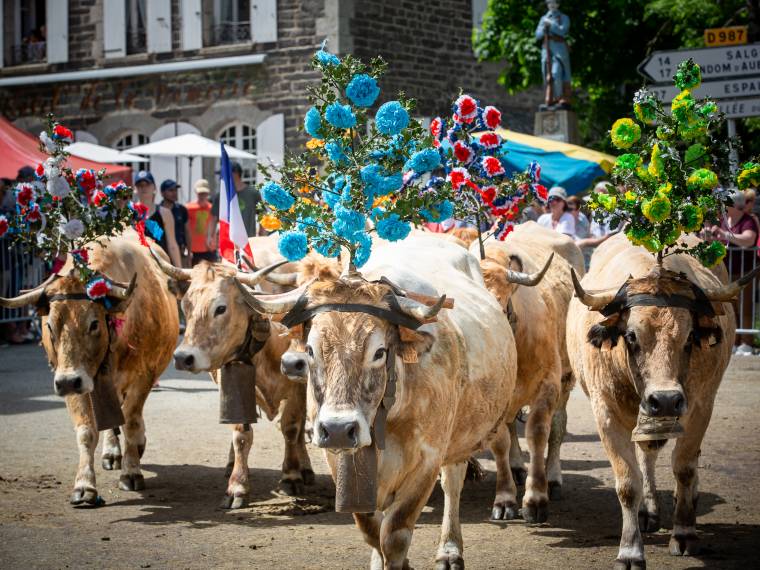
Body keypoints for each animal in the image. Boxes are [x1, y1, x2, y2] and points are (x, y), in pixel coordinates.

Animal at [0, 229, 177, 504]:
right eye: (49, 325)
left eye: (94, 323)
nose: (67, 382)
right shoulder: (73, 381)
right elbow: (86, 431)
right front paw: (84, 486)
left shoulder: (144, 375)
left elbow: (131, 420)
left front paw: (131, 472)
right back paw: (112, 452)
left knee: (129, 415)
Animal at [150, 254, 316, 506]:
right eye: (186, 305)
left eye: (220, 308)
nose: (183, 358)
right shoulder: (233, 383)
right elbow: (240, 434)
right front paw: (237, 485)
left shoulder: (296, 387)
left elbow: (291, 428)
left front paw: (291, 476)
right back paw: (230, 465)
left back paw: (305, 468)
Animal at [240, 236, 520, 568]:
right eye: (310, 350)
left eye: (379, 352)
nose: (338, 429)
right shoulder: (339, 458)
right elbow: (371, 529)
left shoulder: (427, 460)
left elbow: (395, 534)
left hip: (461, 438)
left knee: (452, 485)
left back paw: (450, 550)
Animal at [568, 233, 756, 564]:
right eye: (631, 336)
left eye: (690, 335)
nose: (666, 399)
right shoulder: (606, 413)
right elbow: (627, 482)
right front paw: (630, 550)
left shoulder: (700, 406)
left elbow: (684, 467)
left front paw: (684, 532)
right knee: (646, 454)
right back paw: (647, 511)